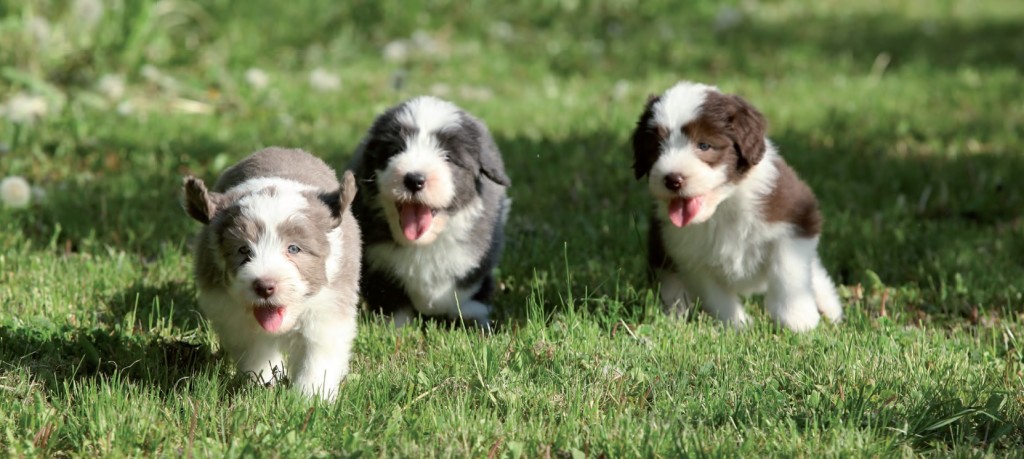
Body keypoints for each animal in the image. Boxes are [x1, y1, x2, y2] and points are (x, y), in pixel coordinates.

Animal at [182, 147, 362, 397]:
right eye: (243, 249)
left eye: (293, 248)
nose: (264, 286)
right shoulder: (233, 315)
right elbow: (256, 351)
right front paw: (263, 383)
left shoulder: (328, 308)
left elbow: (317, 354)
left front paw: (311, 396)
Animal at [630, 82, 839, 331]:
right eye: (656, 148)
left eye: (704, 145)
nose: (672, 179)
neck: (723, 206)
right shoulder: (688, 255)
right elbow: (716, 294)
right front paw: (738, 326)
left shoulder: (795, 215)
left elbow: (789, 271)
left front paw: (798, 321)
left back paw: (829, 306)